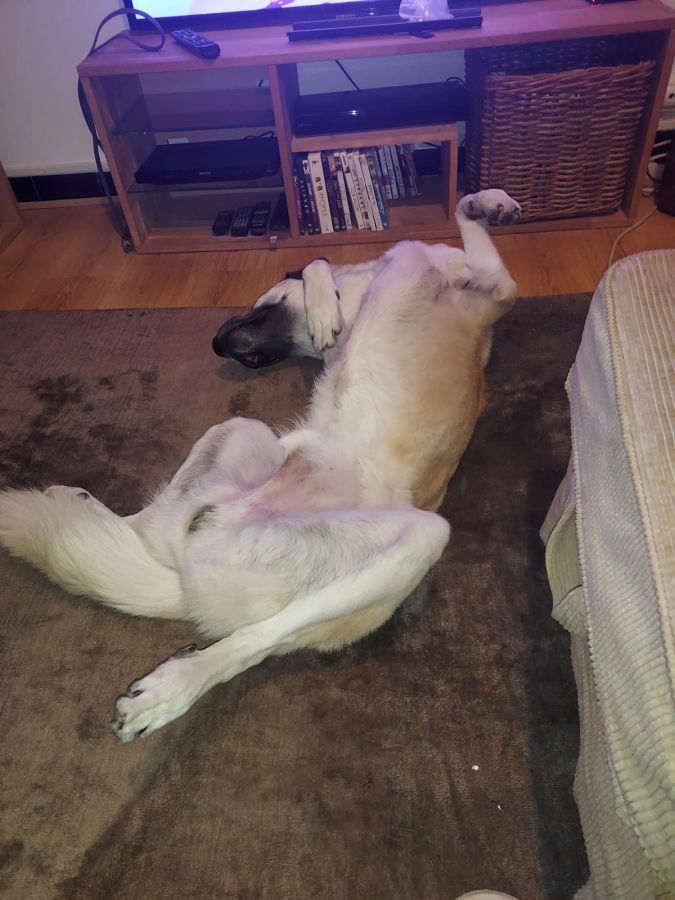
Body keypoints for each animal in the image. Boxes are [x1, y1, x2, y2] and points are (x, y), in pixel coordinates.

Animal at [0, 189, 520, 742]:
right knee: (147, 528)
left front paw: (489, 202)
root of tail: (187, 581)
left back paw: (171, 688)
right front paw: (486, 204)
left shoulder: (498, 291)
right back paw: (76, 500)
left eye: (256, 304)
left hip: (415, 538)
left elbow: (333, 260)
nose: (218, 344)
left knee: (258, 637)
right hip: (238, 435)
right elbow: (318, 263)